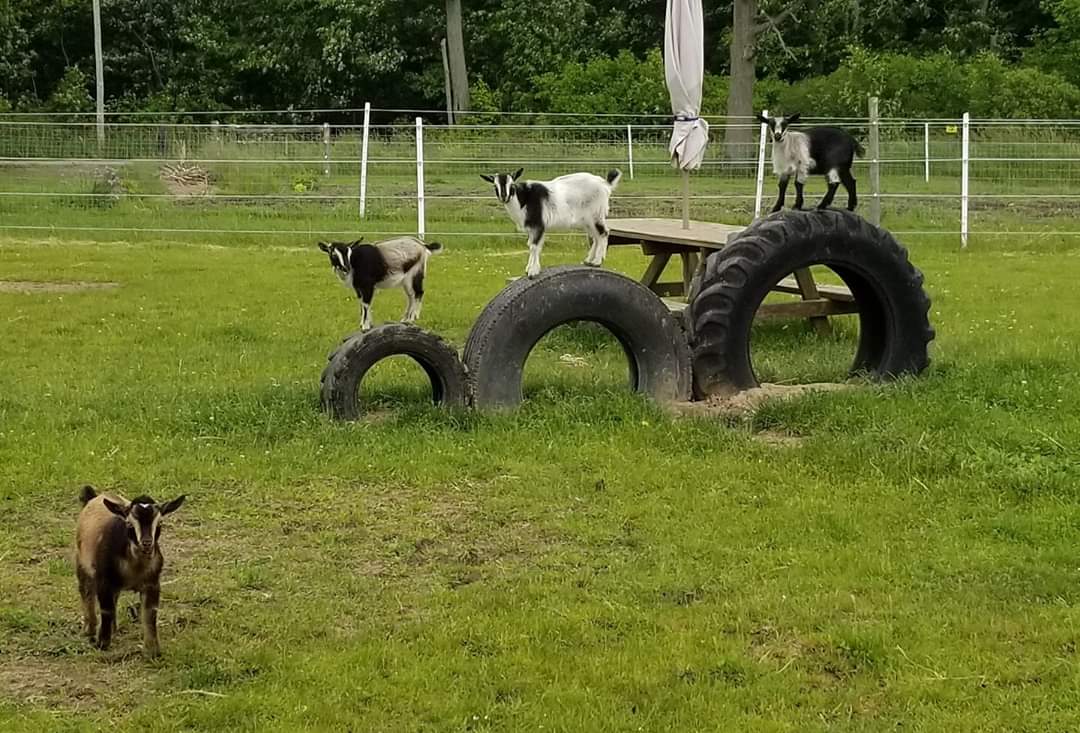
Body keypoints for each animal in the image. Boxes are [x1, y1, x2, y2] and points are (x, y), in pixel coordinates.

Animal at [75, 485, 185, 657]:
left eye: (160, 522)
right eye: (129, 524)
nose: (146, 543)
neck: (135, 566)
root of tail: (94, 497)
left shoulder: (152, 583)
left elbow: (150, 614)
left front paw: (152, 651)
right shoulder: (104, 581)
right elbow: (106, 610)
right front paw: (102, 643)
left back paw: (113, 629)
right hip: (82, 563)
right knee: (86, 591)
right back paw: (89, 629)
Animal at [481, 168, 622, 278]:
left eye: (512, 185)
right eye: (495, 185)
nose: (504, 197)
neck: (523, 200)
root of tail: (606, 184)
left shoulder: (538, 224)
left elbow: (534, 246)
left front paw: (532, 271)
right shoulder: (532, 228)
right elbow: (532, 245)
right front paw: (529, 268)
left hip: (595, 214)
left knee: (603, 233)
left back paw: (596, 262)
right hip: (586, 221)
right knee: (596, 237)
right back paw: (588, 261)